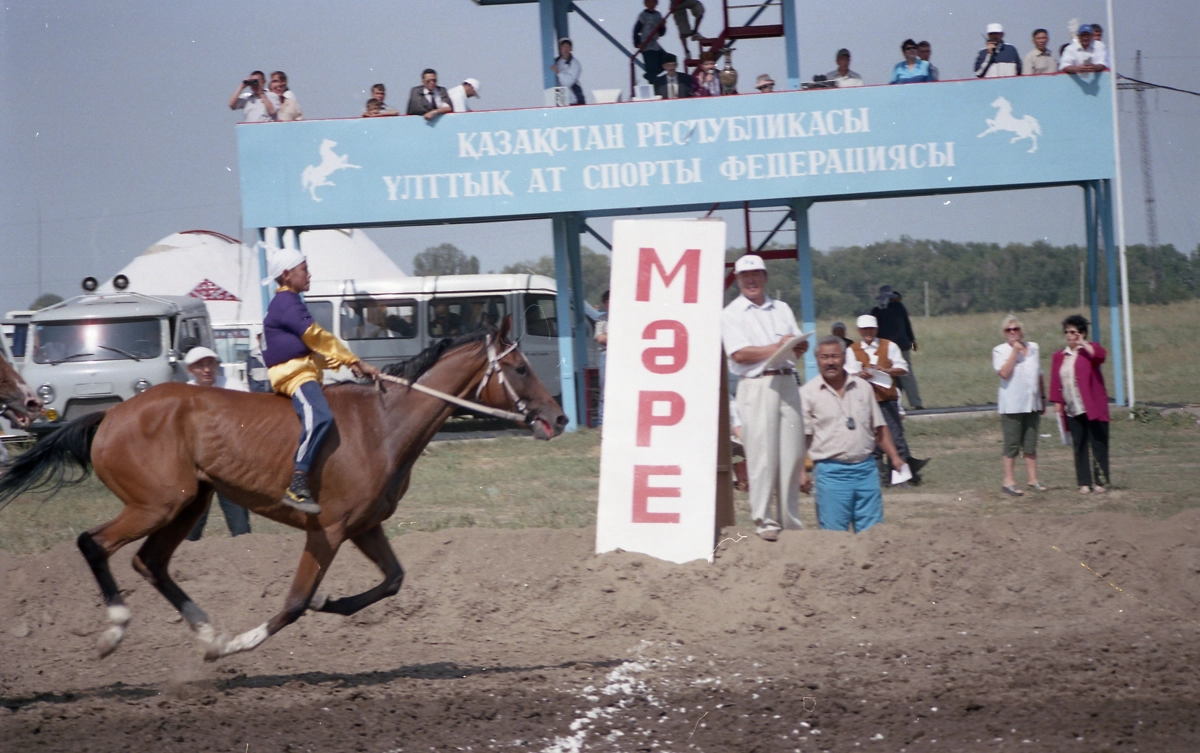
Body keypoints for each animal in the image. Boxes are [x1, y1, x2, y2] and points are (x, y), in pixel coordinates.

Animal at [0, 321, 566, 661]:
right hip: (156, 503)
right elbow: (295, 602)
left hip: (188, 502)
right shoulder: (327, 530)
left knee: (150, 562)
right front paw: (246, 641)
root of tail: (111, 415)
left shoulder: (365, 527)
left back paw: (207, 633)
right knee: (94, 544)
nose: (558, 417)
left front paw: (333, 605)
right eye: (519, 368)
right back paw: (121, 627)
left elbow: (393, 580)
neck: (383, 424)